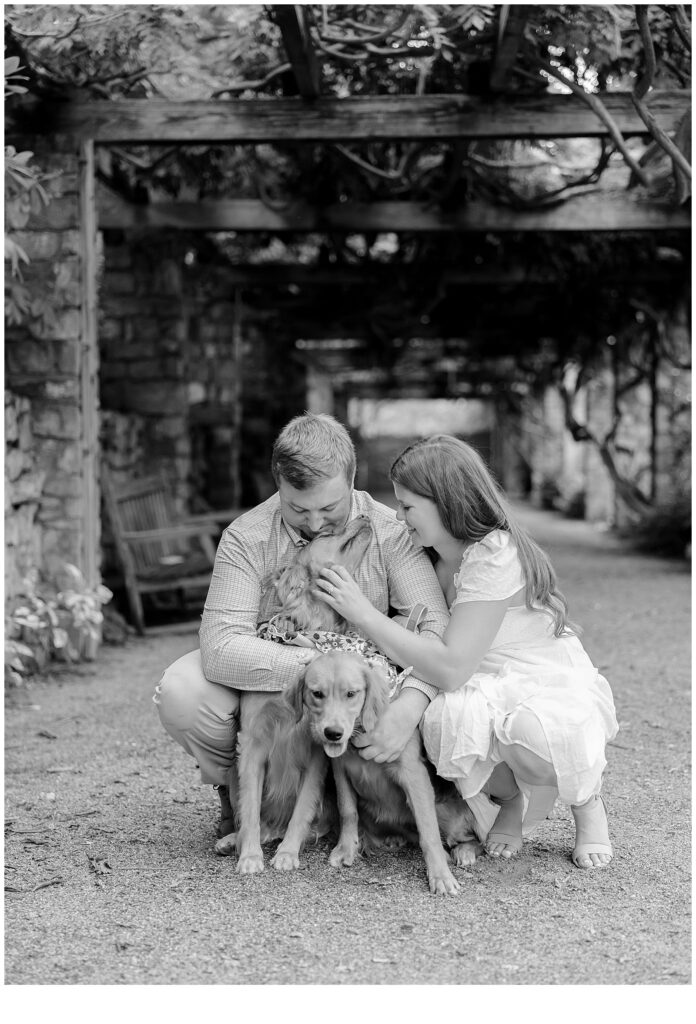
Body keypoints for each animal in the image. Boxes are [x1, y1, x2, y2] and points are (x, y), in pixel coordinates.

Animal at [215, 516, 374, 876]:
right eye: (329, 532)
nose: (363, 516)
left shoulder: (316, 754)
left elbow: (302, 809)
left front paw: (288, 853)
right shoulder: (253, 745)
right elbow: (250, 809)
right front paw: (249, 855)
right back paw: (233, 839)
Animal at [288, 647, 483, 897]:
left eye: (351, 694)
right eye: (317, 693)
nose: (333, 733)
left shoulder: (414, 775)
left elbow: (429, 833)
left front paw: (440, 875)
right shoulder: (341, 770)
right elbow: (347, 811)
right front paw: (346, 847)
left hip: (451, 816)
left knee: (475, 838)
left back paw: (464, 851)